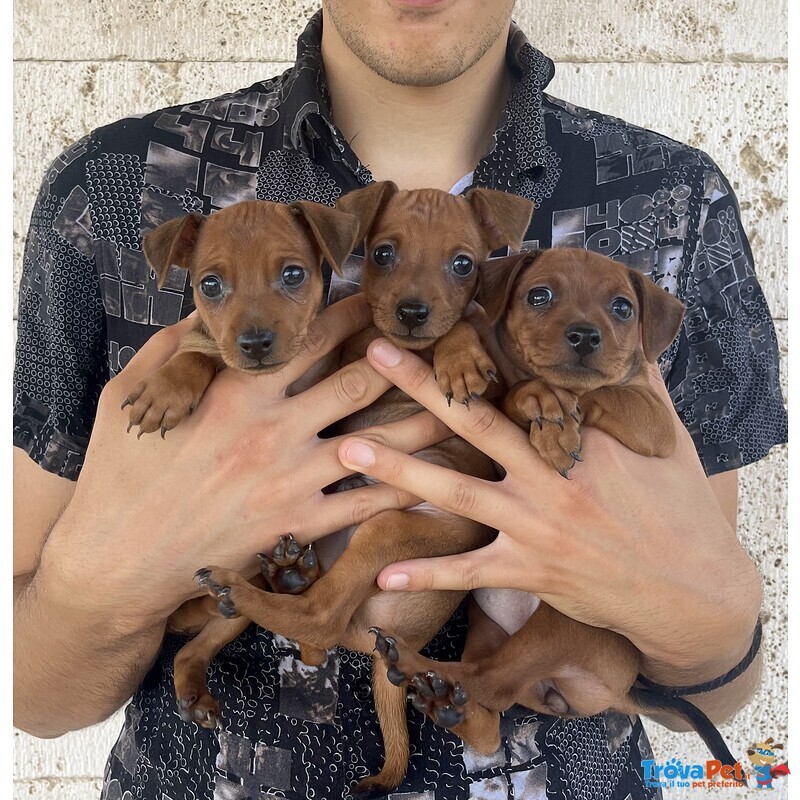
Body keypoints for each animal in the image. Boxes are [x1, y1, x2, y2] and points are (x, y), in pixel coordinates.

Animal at [127, 198, 360, 724]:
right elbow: (198, 354)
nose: (254, 343)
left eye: (293, 274)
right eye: (210, 284)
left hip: (230, 610)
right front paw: (165, 391)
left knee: (206, 648)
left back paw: (291, 578)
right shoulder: (204, 343)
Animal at [191, 183, 536, 792]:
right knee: (311, 638)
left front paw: (460, 356)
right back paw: (287, 576)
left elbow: (462, 326)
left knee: (319, 621)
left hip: (390, 529)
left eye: (464, 264)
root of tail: (385, 644)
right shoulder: (341, 356)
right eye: (382, 254)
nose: (413, 313)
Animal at [370, 248, 744, 768]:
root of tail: (623, 691)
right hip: (494, 631)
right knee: (492, 707)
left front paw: (553, 414)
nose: (585, 335)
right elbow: (494, 366)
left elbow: (601, 391)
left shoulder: (657, 425)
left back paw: (412, 664)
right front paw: (482, 370)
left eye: (622, 308)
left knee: (489, 682)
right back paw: (443, 700)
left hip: (562, 622)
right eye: (539, 296)